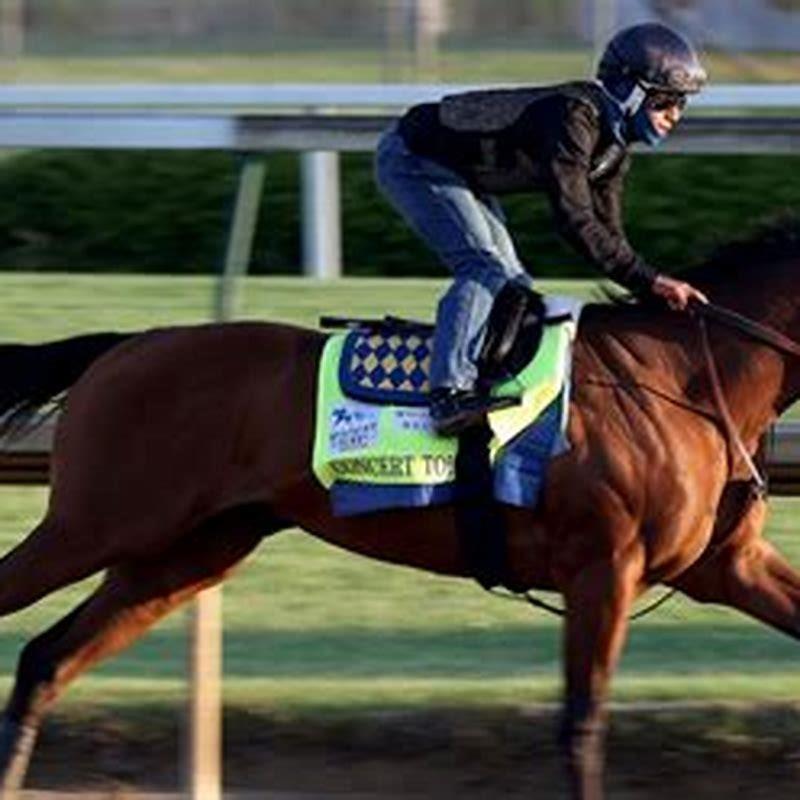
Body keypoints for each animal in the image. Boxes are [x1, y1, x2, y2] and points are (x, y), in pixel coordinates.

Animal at [0, 219, 800, 800]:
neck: (685, 377)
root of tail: (123, 345)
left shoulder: (726, 565)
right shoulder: (604, 565)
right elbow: (583, 724)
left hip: (182, 556)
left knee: (46, 660)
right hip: (93, 525)